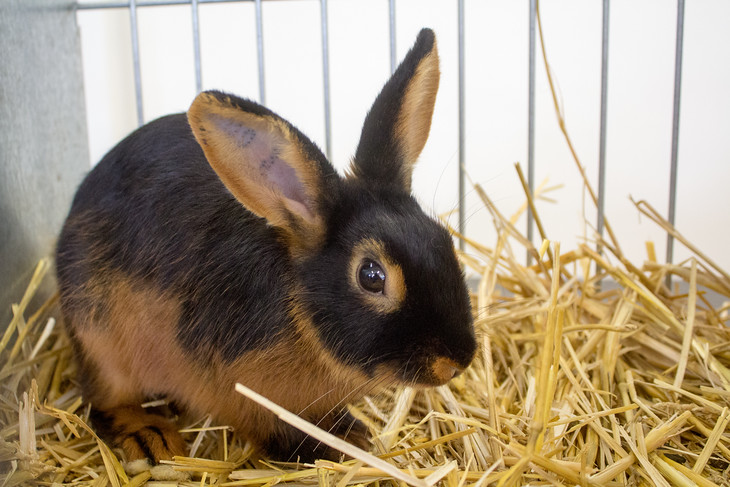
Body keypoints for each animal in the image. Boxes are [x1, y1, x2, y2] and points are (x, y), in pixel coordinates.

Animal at [57, 27, 478, 468]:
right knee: (105, 403)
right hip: (99, 339)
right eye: (371, 275)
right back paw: (150, 435)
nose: (457, 360)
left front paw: (347, 430)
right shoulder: (238, 389)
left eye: (444, 239)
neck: (302, 317)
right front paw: (333, 445)